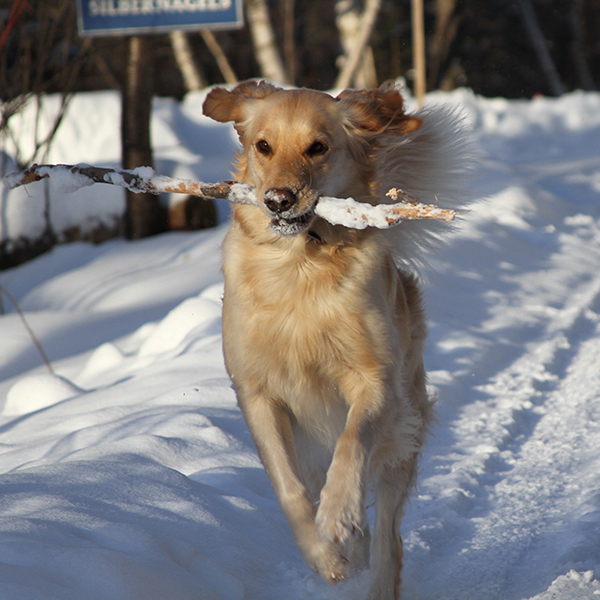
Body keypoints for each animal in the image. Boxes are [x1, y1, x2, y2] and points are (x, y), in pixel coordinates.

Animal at [204, 81, 472, 600]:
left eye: (318, 147)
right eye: (263, 145)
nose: (279, 200)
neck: (299, 267)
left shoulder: (375, 381)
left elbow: (351, 443)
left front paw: (337, 511)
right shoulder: (257, 392)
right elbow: (287, 487)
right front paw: (323, 554)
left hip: (403, 429)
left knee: (389, 533)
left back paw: (376, 569)